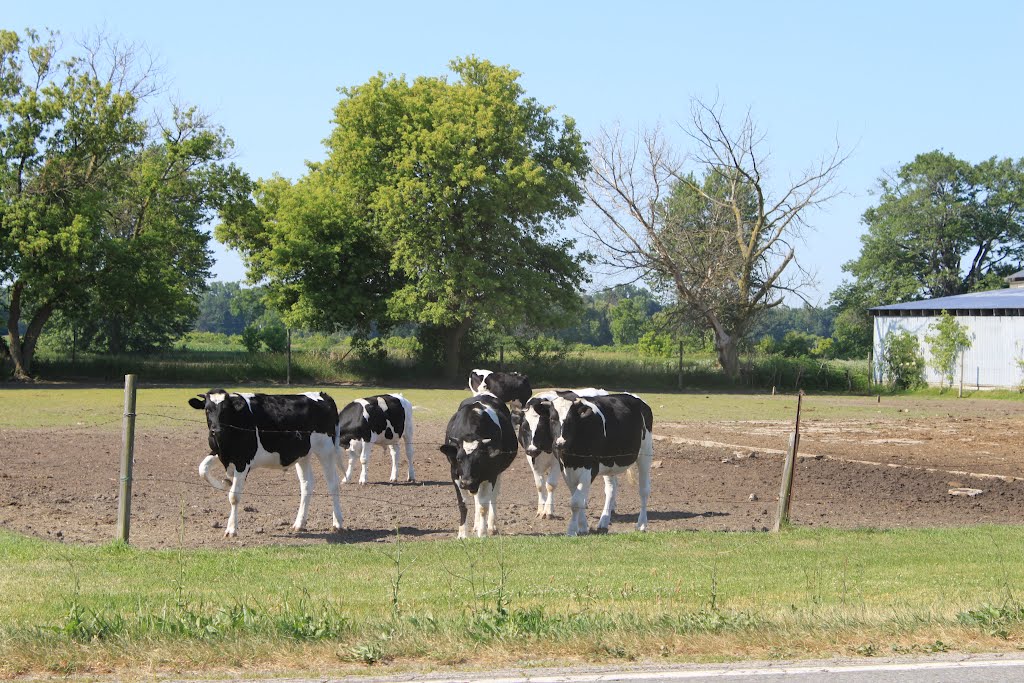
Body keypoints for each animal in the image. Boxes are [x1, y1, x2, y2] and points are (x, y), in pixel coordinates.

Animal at [192, 389, 348, 540]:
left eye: (225, 409)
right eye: (207, 409)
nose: (216, 430)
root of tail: (323, 394)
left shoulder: (243, 461)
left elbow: (234, 496)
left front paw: (231, 530)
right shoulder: (219, 452)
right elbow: (202, 469)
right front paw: (224, 483)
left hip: (326, 449)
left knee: (333, 483)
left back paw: (337, 523)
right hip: (303, 454)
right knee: (307, 484)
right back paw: (299, 523)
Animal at [440, 393, 520, 536]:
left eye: (479, 459)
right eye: (459, 459)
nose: (467, 482)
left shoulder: (490, 475)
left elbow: (484, 505)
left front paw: (482, 534)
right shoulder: (455, 474)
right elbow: (463, 505)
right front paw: (462, 534)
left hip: (496, 474)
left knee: (492, 496)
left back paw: (491, 526)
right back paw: (476, 525)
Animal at [509, 387, 610, 520]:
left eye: (542, 428)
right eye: (524, 428)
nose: (532, 450)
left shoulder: (557, 461)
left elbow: (550, 484)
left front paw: (548, 511)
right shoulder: (531, 459)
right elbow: (539, 485)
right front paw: (541, 509)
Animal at [548, 395, 651, 532]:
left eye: (571, 420)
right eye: (552, 419)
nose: (560, 443)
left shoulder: (590, 468)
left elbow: (576, 502)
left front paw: (571, 531)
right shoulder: (566, 470)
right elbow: (578, 498)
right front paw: (582, 526)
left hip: (645, 453)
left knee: (644, 490)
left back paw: (642, 524)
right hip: (610, 463)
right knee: (611, 489)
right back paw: (604, 520)